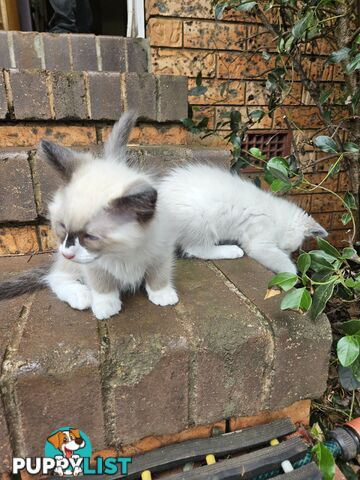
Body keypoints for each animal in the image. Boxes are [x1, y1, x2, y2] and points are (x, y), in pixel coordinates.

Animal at [0, 110, 179, 316]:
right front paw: (105, 305)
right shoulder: (93, 265)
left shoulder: (161, 251)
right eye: (62, 227)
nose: (67, 253)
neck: (121, 253)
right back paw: (82, 296)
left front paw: (162, 294)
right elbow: (102, 284)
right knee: (55, 276)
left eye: (91, 237)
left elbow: (159, 274)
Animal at [159, 163, 328, 274]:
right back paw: (232, 250)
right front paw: (292, 278)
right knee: (196, 248)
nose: (288, 254)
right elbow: (284, 265)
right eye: (287, 250)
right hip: (202, 221)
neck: (276, 216)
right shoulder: (260, 243)